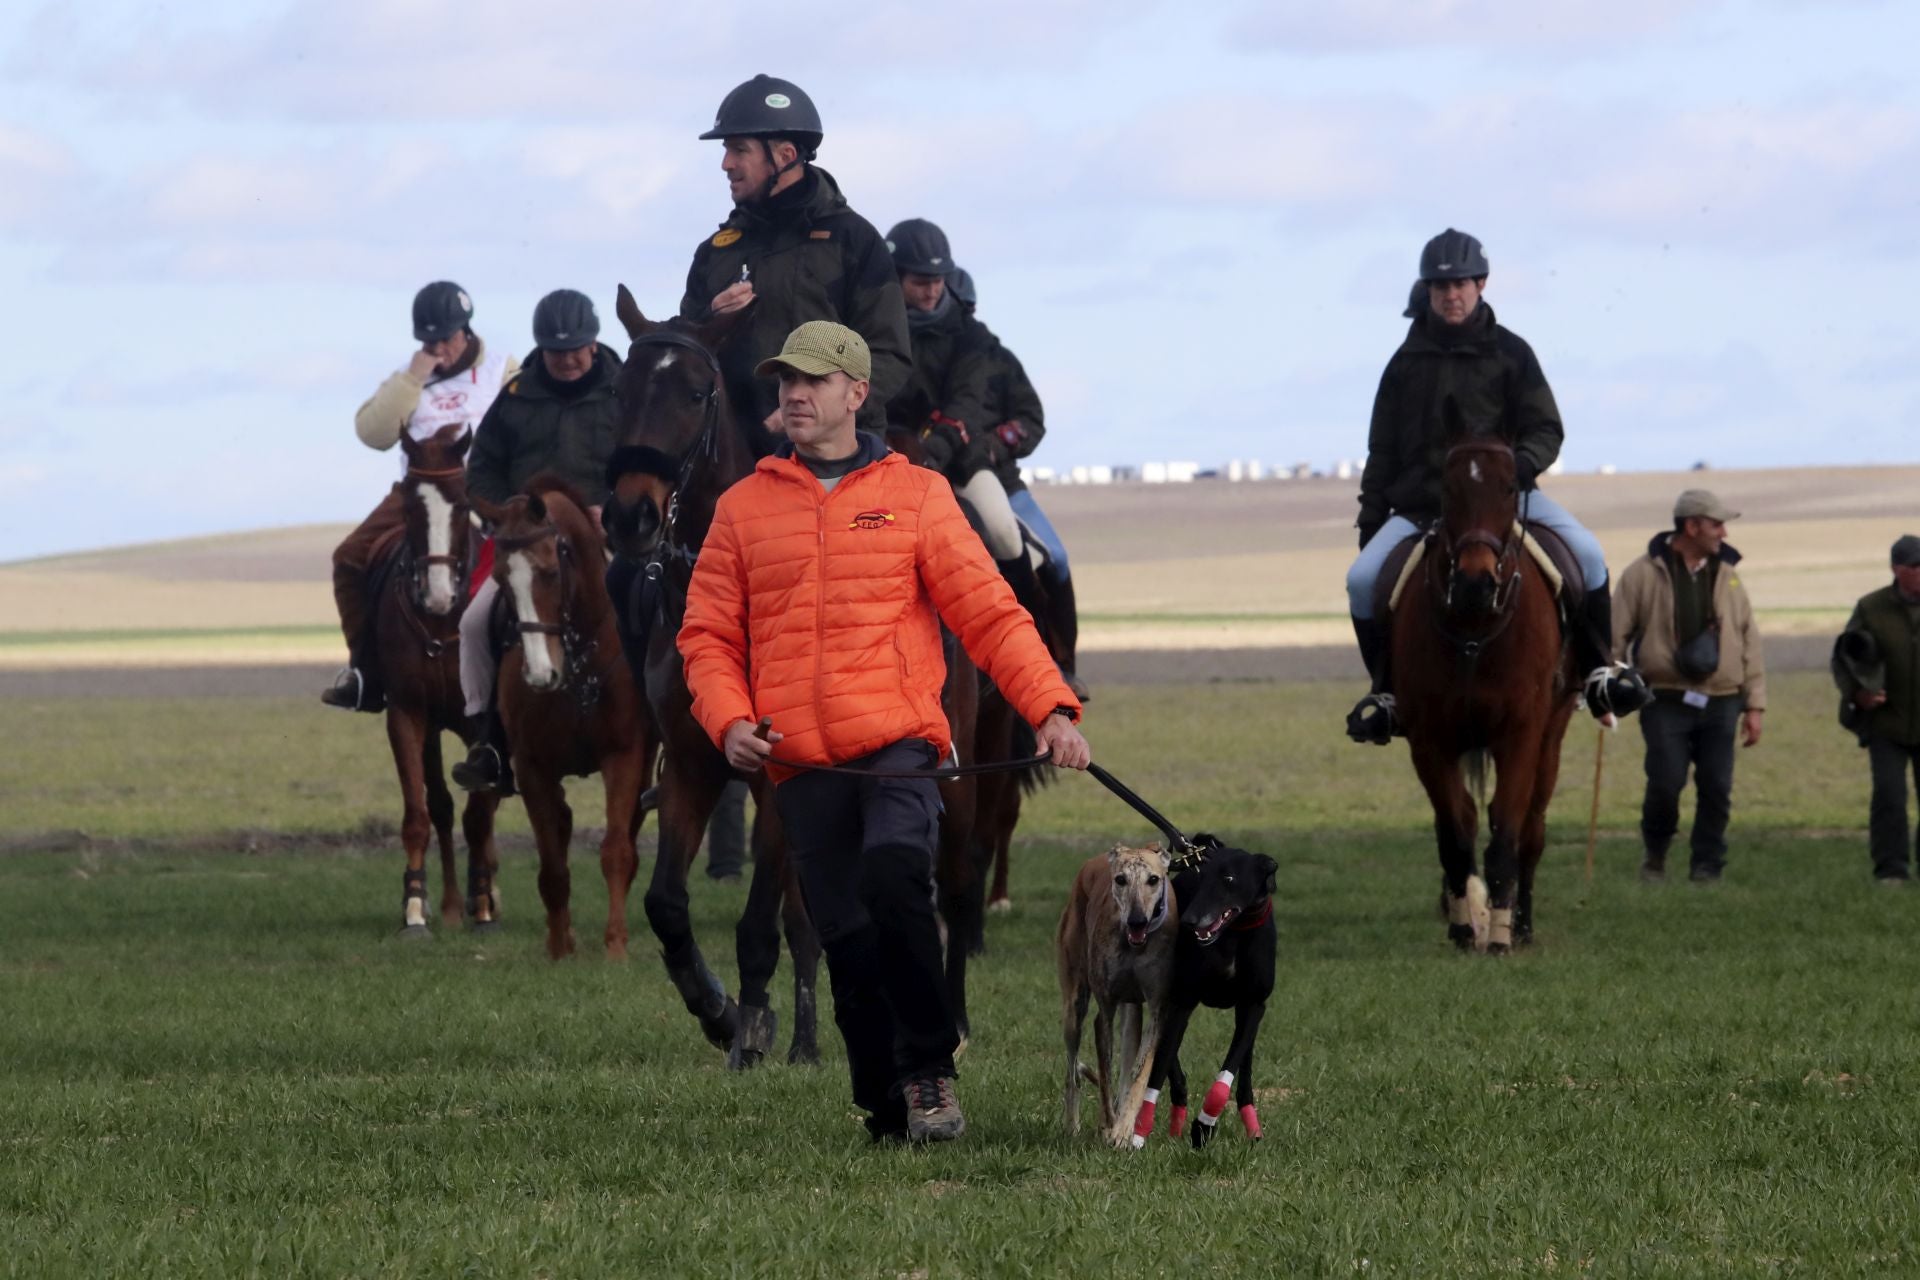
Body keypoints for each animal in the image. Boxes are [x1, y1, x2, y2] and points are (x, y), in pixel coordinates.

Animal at [370, 426, 499, 936]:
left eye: (462, 504)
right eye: (409, 505)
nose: (439, 594)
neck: (444, 625)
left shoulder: (482, 722)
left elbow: (479, 815)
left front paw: (482, 905)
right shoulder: (409, 714)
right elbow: (422, 812)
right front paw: (416, 906)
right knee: (442, 805)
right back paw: (448, 903)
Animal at [470, 479, 652, 959]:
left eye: (551, 571)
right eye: (501, 580)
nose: (539, 675)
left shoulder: (624, 756)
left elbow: (616, 849)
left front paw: (615, 946)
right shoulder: (533, 766)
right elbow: (552, 861)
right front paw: (557, 948)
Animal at [1397, 429, 1574, 951]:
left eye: (1509, 487)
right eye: (1447, 489)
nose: (1476, 582)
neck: (1475, 626)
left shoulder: (1519, 734)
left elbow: (1507, 832)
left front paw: (1499, 934)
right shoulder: (1429, 741)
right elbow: (1456, 835)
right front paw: (1462, 928)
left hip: (1551, 736)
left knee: (1532, 832)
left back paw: (1523, 925)